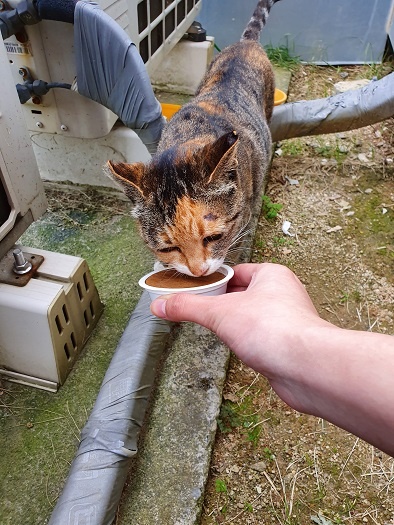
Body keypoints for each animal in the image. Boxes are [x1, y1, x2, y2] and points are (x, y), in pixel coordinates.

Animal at [107, 0, 278, 276]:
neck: (190, 136)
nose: (198, 272)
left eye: (214, 237)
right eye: (168, 248)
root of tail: (246, 43)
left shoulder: (243, 220)